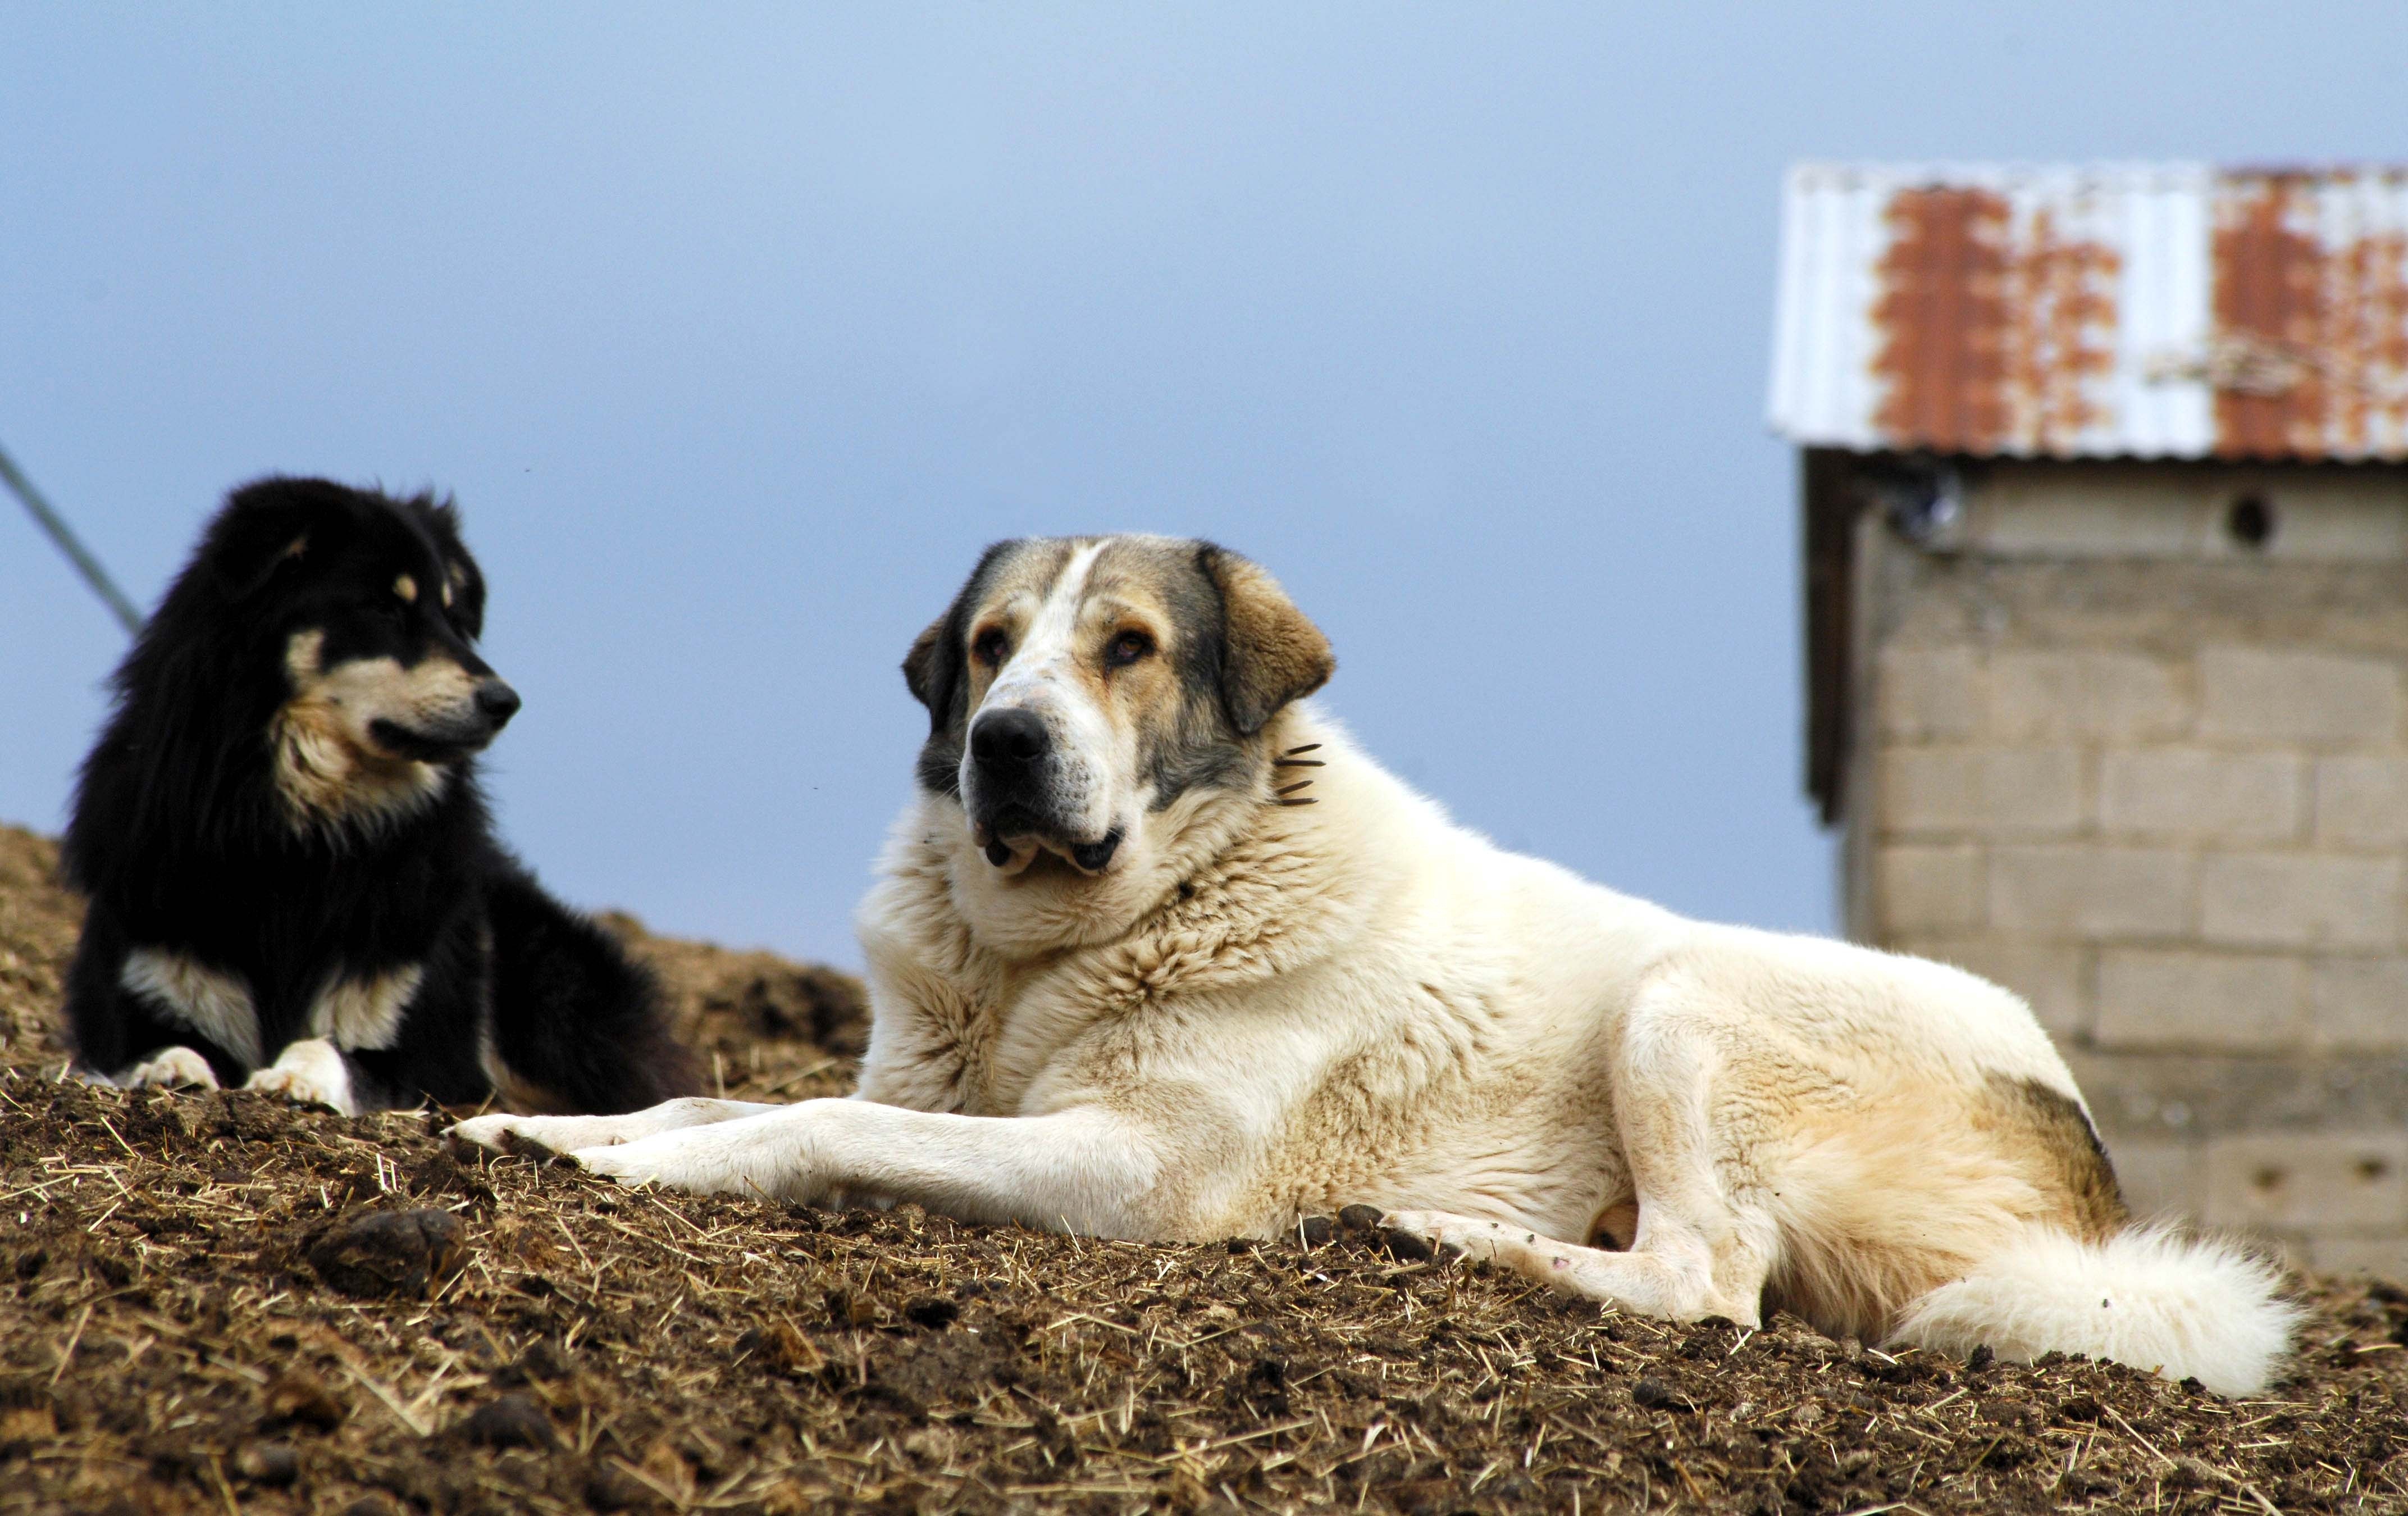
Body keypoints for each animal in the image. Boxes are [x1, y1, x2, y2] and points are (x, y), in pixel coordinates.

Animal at [61, 479, 698, 1118]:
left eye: (452, 616)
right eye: (387, 609)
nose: (506, 701)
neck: (300, 830)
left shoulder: (427, 1058)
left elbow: (327, 1045)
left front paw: (294, 1076)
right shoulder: (146, 991)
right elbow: (164, 1045)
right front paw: (172, 1070)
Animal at [455, 532, 2292, 1397]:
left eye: (1125, 648)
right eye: (989, 647)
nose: (1001, 741)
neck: (1053, 945)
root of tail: (2086, 1171)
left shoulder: (1127, 1166)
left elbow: (806, 1126)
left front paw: (628, 1163)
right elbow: (704, 1101)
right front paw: (538, 1132)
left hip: (1680, 998)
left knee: (1705, 1280)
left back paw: (1432, 1233)